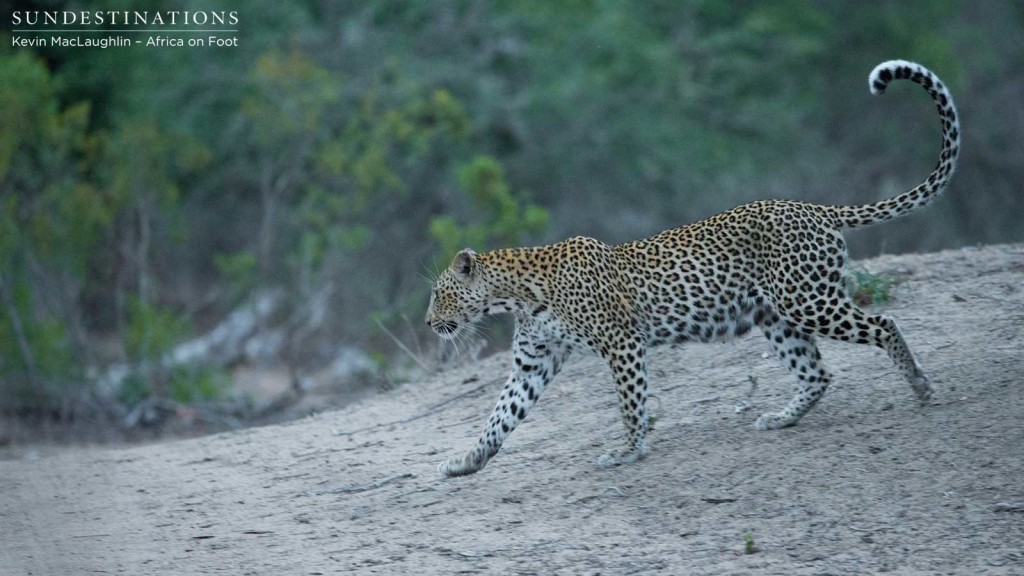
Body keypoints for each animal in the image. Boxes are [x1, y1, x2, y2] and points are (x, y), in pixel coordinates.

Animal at [423, 60, 958, 477]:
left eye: (439, 294)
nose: (429, 324)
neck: (516, 294)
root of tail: (815, 208)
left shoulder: (621, 343)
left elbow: (631, 403)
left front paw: (627, 451)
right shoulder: (534, 360)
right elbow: (500, 417)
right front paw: (465, 462)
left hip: (808, 300)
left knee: (883, 323)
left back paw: (921, 386)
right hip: (777, 317)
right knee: (816, 373)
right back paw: (780, 418)